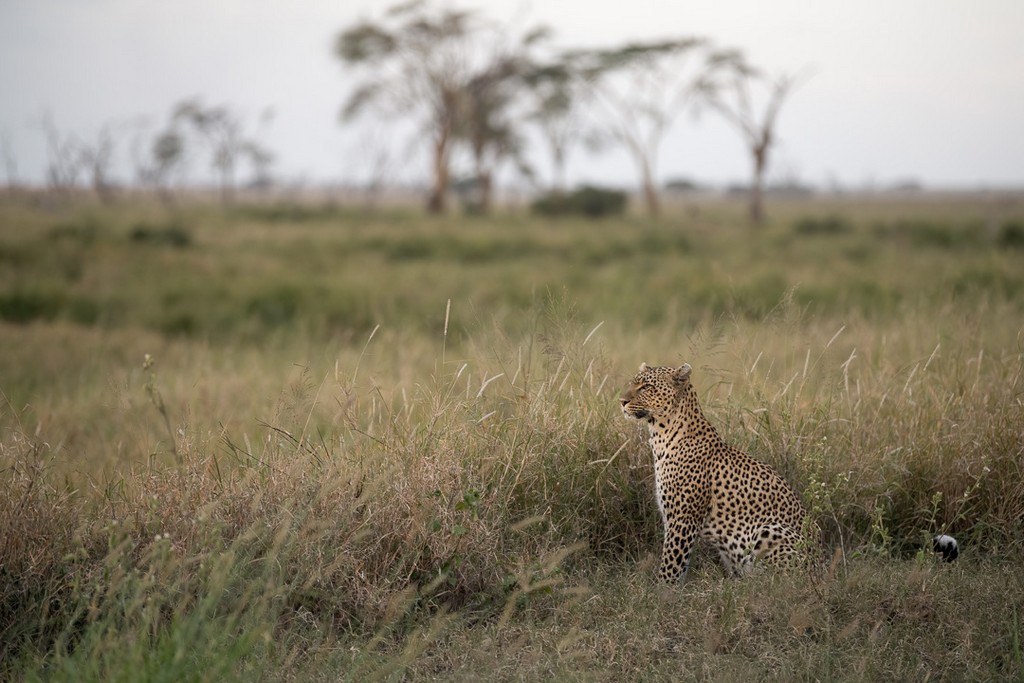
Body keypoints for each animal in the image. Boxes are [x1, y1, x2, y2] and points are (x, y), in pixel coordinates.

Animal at [614, 362, 815, 581]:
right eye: (632, 383)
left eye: (647, 387)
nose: (622, 401)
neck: (660, 435)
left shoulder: (682, 518)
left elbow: (671, 562)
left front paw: (662, 588)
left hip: (768, 530)